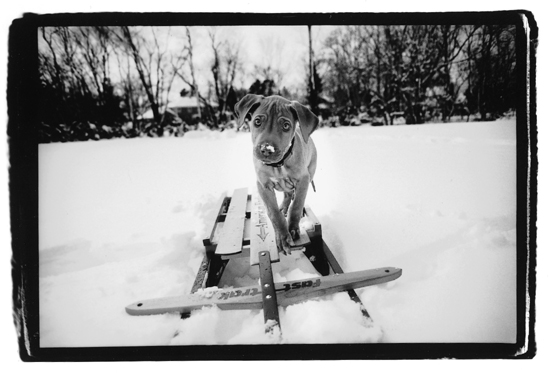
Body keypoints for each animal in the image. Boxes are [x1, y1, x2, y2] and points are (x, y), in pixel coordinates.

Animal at [235, 94, 322, 254]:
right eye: (257, 121)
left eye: (286, 126)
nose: (266, 149)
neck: (278, 165)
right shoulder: (263, 185)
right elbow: (273, 212)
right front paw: (282, 236)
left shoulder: (303, 179)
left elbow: (297, 205)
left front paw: (292, 229)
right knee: (287, 195)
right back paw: (283, 207)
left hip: (311, 171)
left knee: (295, 197)